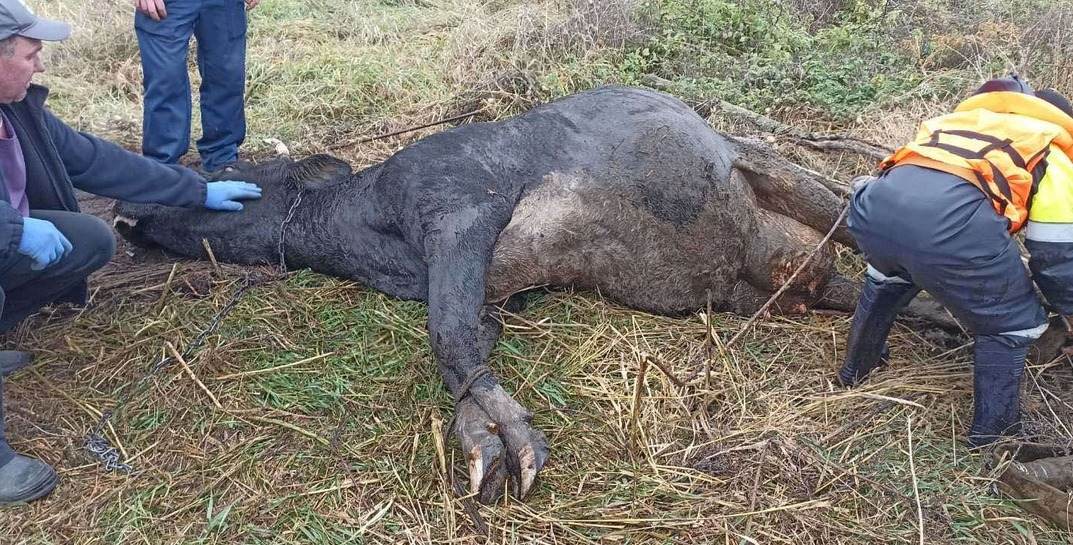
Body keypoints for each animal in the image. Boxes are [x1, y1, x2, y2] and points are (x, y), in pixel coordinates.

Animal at [112, 86, 925, 504]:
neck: (363, 233)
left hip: (785, 175)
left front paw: (511, 449)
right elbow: (465, 344)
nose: (130, 207)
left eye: (232, 170)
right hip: (788, 272)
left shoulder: (459, 208)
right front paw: (485, 441)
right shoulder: (493, 289)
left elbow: (447, 335)